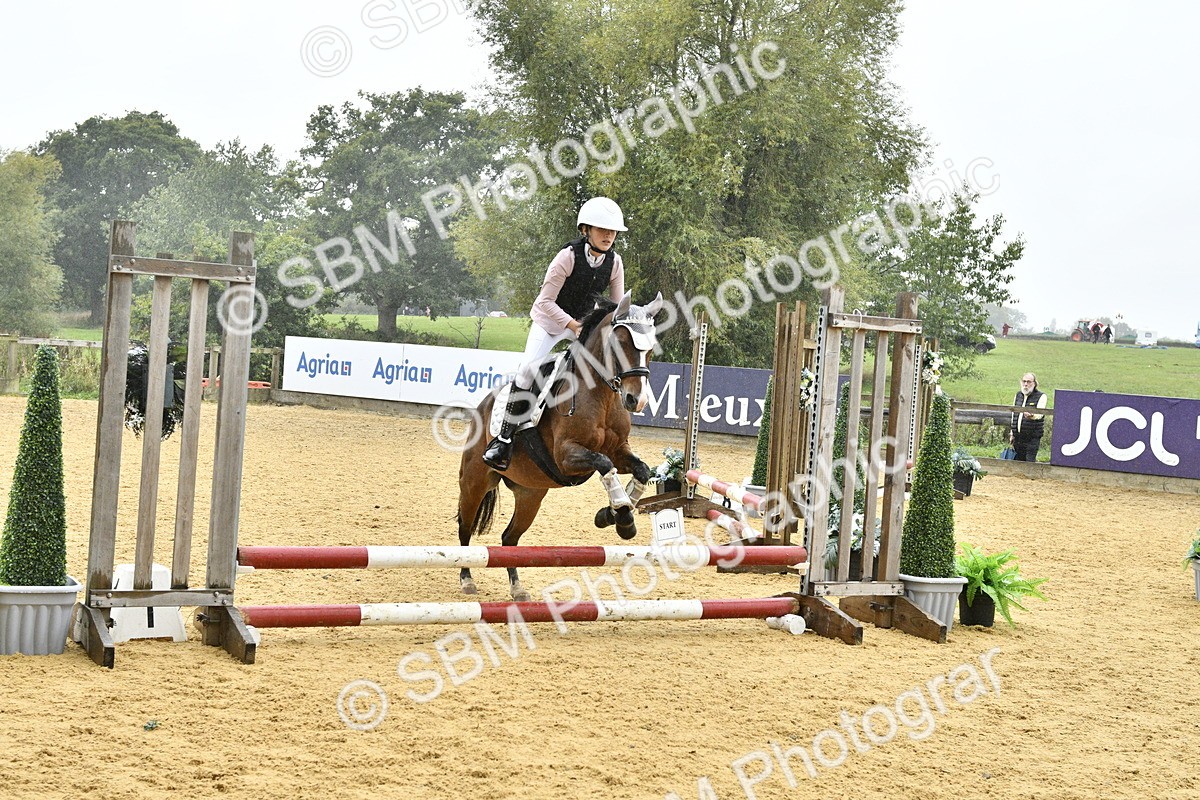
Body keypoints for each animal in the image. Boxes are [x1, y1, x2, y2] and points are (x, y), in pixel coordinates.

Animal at [455, 291, 664, 601]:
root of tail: (483, 405)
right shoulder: (566, 456)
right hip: (474, 481)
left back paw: (517, 587)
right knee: (465, 527)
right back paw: (467, 578)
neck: (600, 396)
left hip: (530, 494)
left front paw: (614, 514)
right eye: (622, 343)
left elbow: (641, 470)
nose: (635, 401)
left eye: (650, 349)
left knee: (509, 538)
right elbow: (604, 463)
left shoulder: (620, 451)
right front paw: (621, 514)